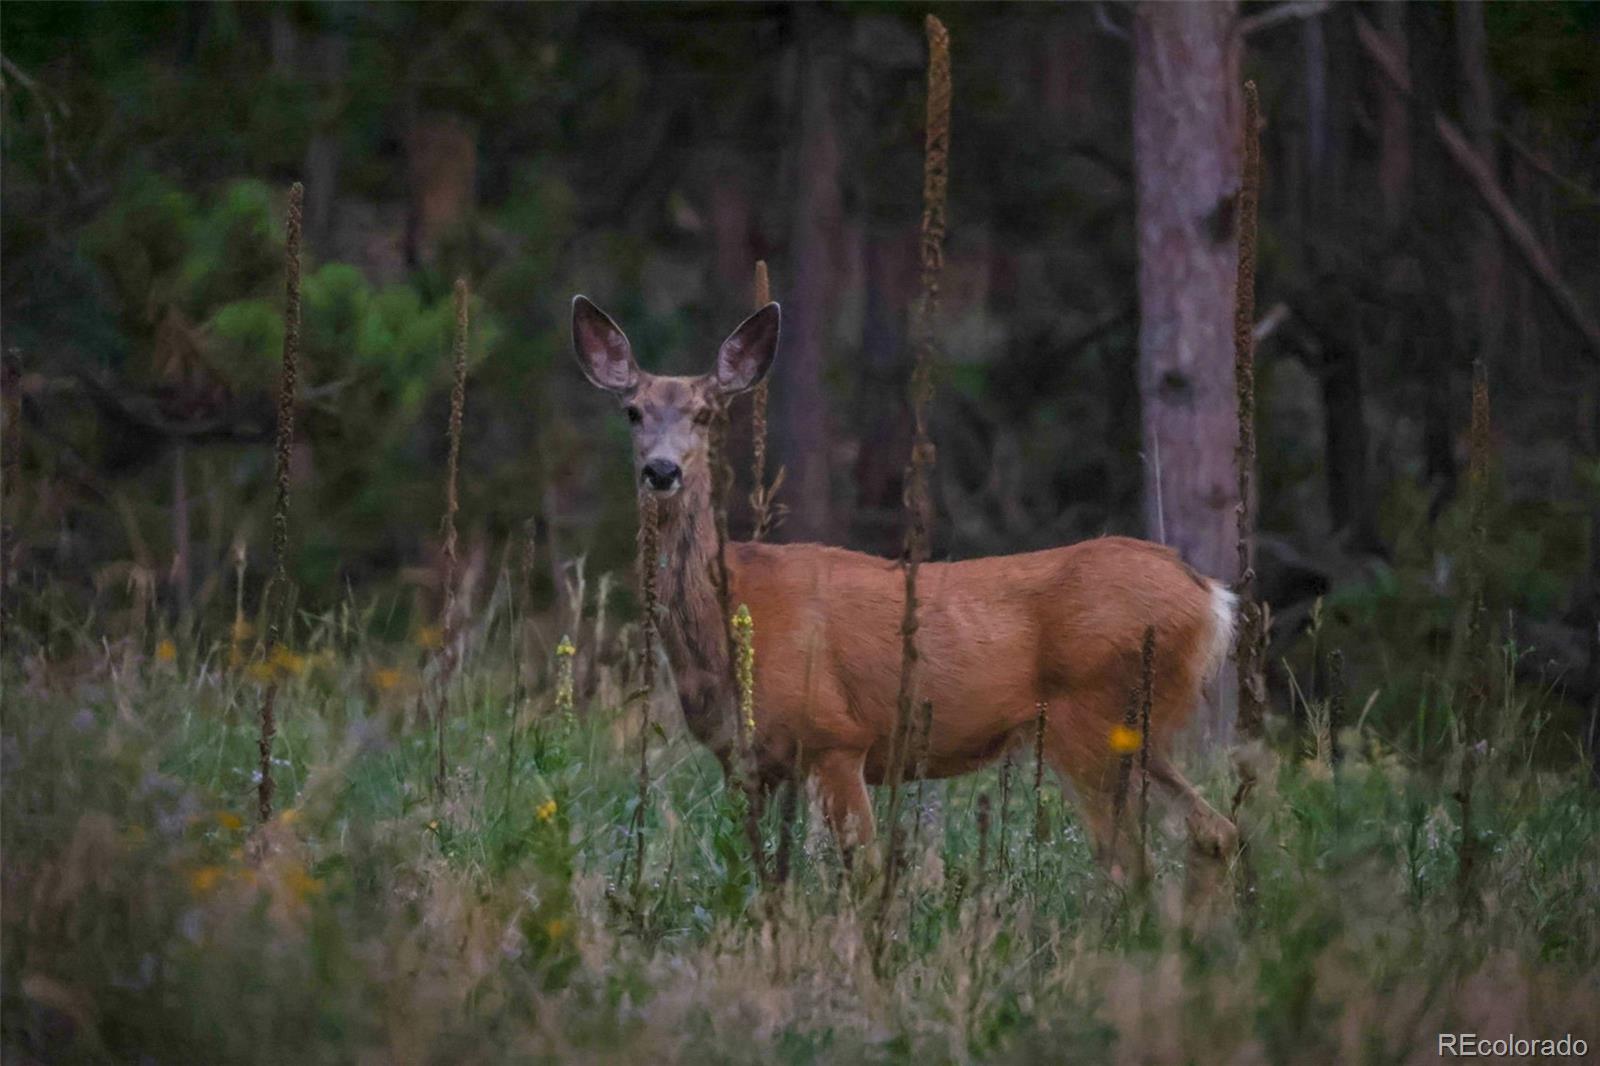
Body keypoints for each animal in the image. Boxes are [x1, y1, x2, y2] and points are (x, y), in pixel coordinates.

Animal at [579, 294, 1248, 877]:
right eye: (633, 411)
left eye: (705, 414)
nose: (661, 470)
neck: (730, 619)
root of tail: (1211, 596)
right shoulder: (745, 762)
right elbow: (760, 874)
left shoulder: (836, 738)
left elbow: (865, 871)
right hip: (1136, 732)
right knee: (1214, 830)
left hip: (1093, 720)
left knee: (1130, 864)